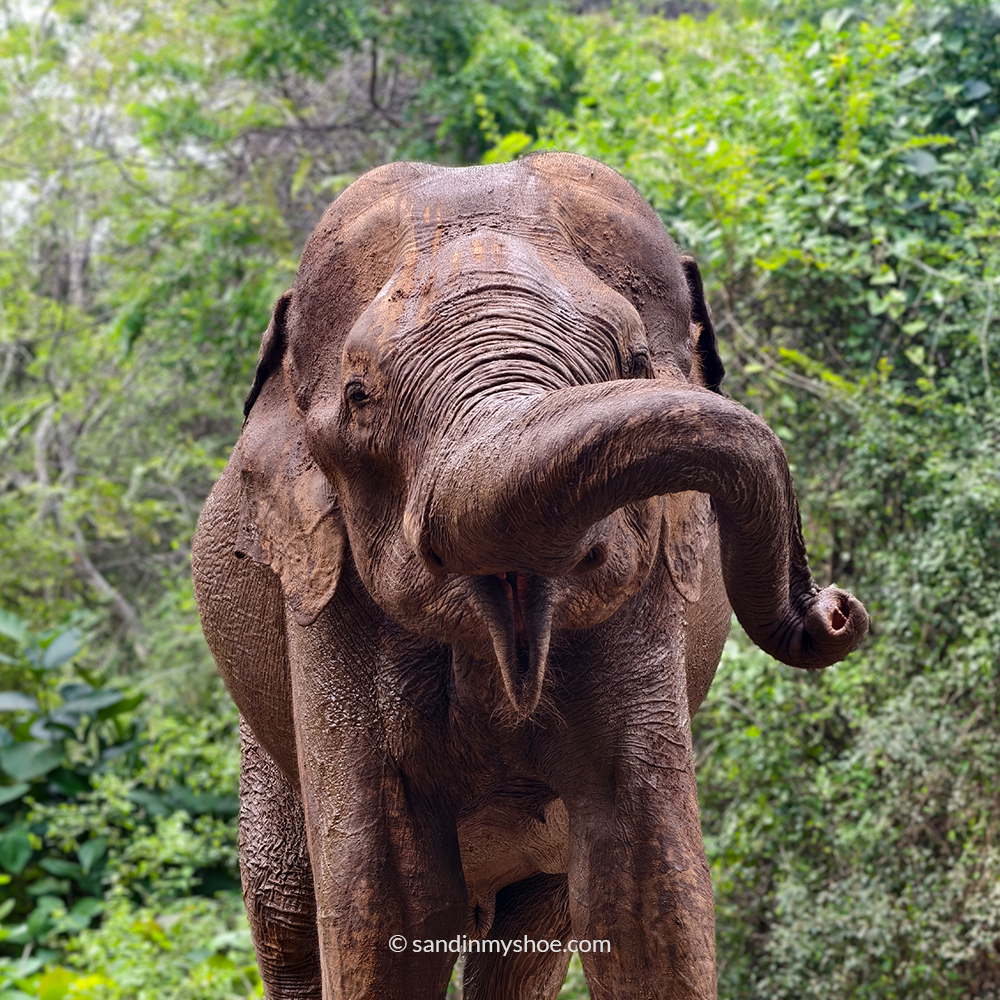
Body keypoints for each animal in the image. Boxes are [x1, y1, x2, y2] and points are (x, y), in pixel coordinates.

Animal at [191, 151, 867, 1000]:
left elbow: (643, 880)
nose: (835, 608)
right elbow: (387, 901)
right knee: (286, 906)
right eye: (358, 398)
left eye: (635, 365)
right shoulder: (322, 591)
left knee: (534, 927)